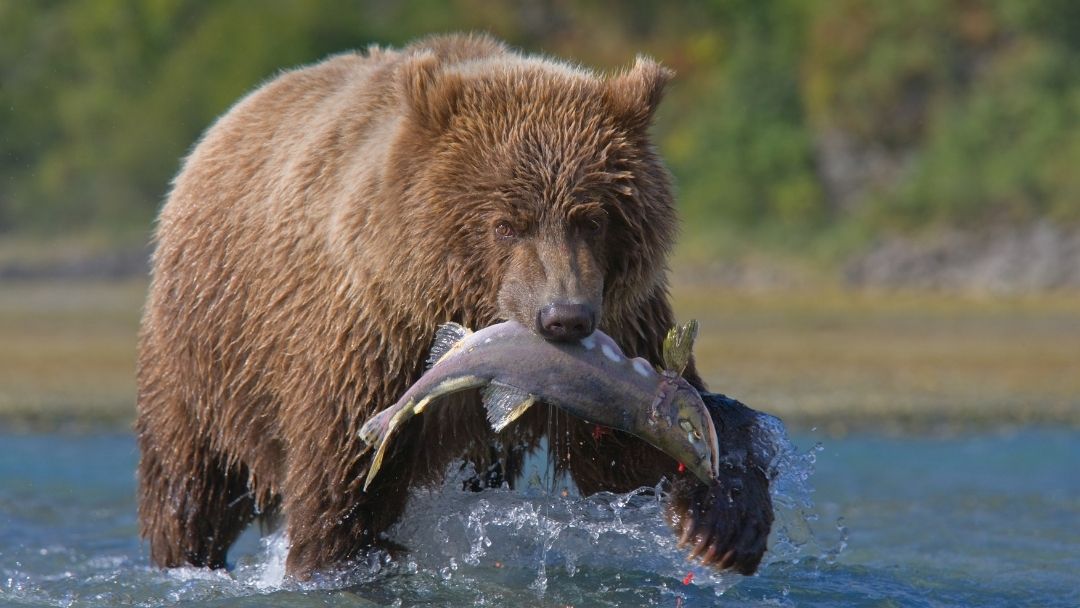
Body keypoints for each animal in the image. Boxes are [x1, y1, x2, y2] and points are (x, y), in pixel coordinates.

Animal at [135, 33, 773, 578]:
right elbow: (340, 491)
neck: (462, 302)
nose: (564, 318)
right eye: (505, 224)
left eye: (593, 218)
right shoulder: (369, 338)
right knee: (188, 485)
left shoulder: (624, 332)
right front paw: (335, 560)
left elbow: (627, 457)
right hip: (206, 357)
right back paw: (186, 555)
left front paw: (721, 523)